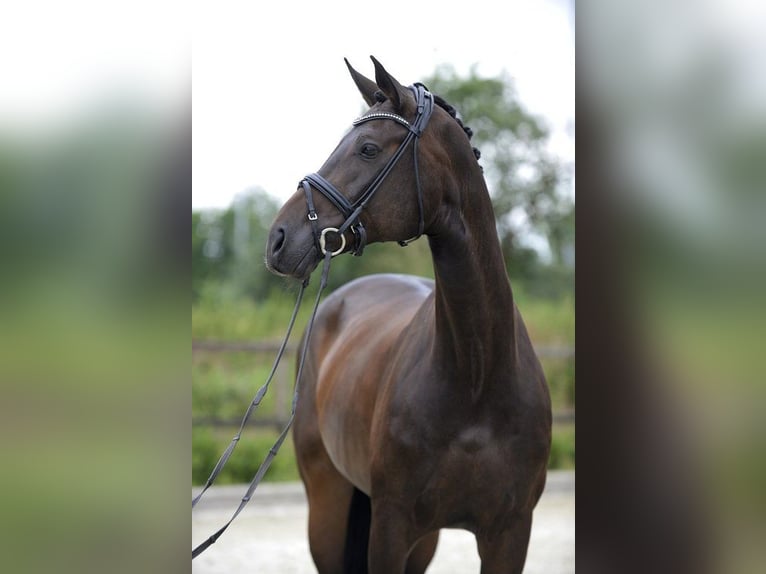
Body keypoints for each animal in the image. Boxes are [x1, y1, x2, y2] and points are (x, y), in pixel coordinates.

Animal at [266, 55, 552, 574]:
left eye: (367, 149)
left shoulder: (509, 533)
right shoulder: (391, 526)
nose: (278, 238)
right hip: (328, 504)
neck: (477, 376)